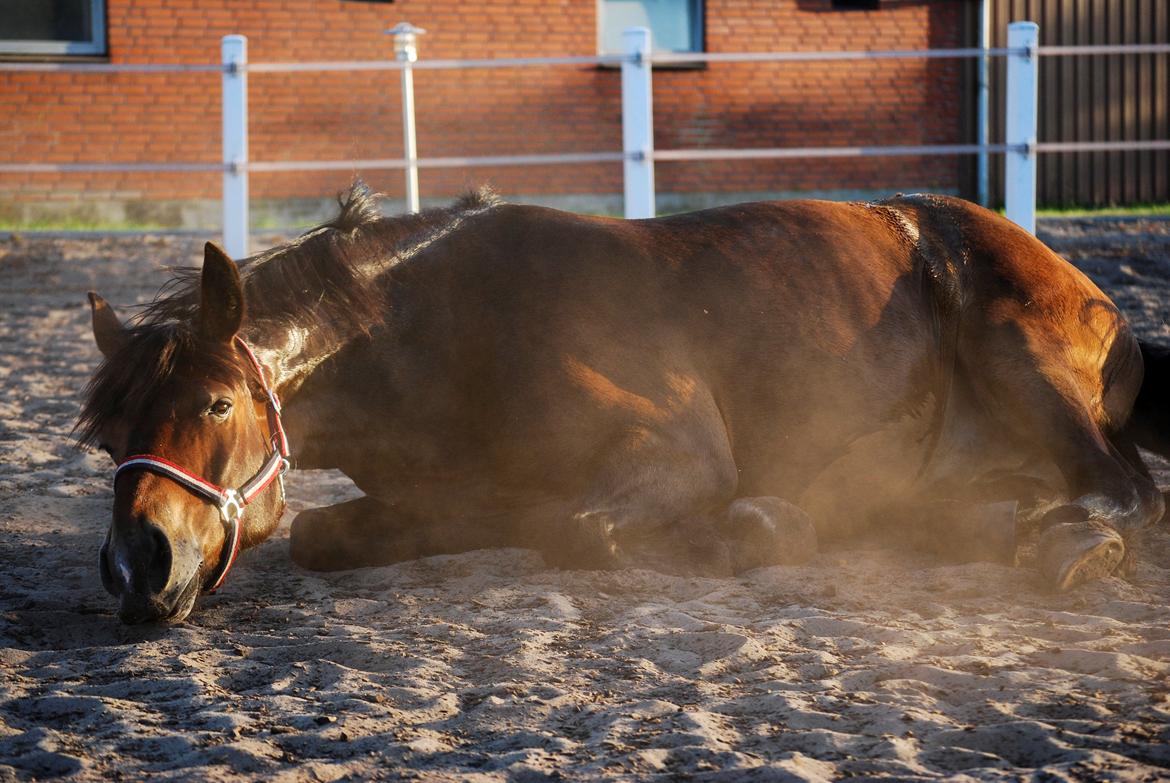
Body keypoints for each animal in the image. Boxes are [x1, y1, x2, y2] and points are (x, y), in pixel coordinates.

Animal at [77, 184, 1165, 622]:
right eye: (104, 435)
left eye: (217, 404)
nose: (138, 567)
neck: (443, 325)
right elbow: (325, 534)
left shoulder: (678, 451)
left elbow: (580, 527)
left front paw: (765, 525)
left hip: (1019, 351)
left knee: (1123, 488)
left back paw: (1061, 540)